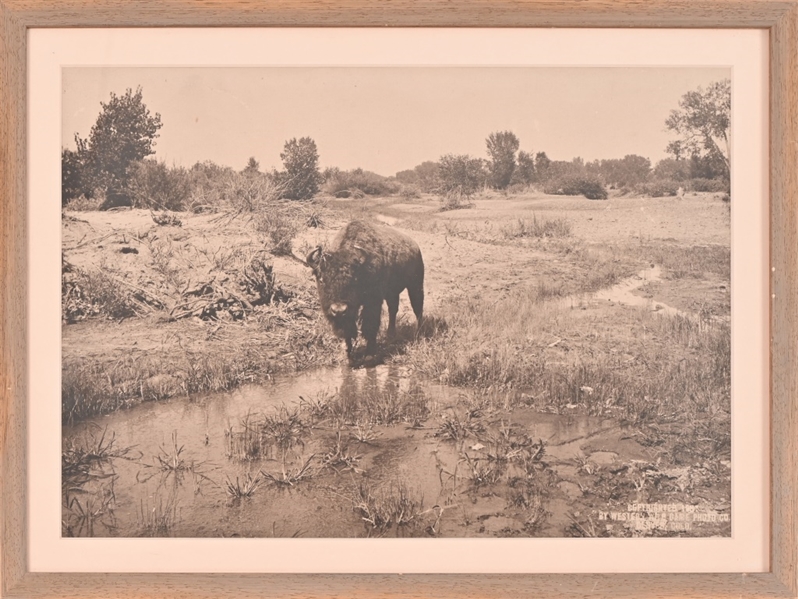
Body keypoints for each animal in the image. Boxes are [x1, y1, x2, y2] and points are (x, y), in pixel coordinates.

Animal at [306, 220, 424, 360]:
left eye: (354, 280)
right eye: (321, 279)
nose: (339, 310)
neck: (362, 269)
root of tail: (416, 247)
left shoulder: (373, 301)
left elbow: (370, 324)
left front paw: (369, 354)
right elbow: (349, 328)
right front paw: (347, 351)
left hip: (415, 286)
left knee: (418, 309)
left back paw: (418, 334)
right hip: (392, 293)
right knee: (393, 310)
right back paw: (390, 335)